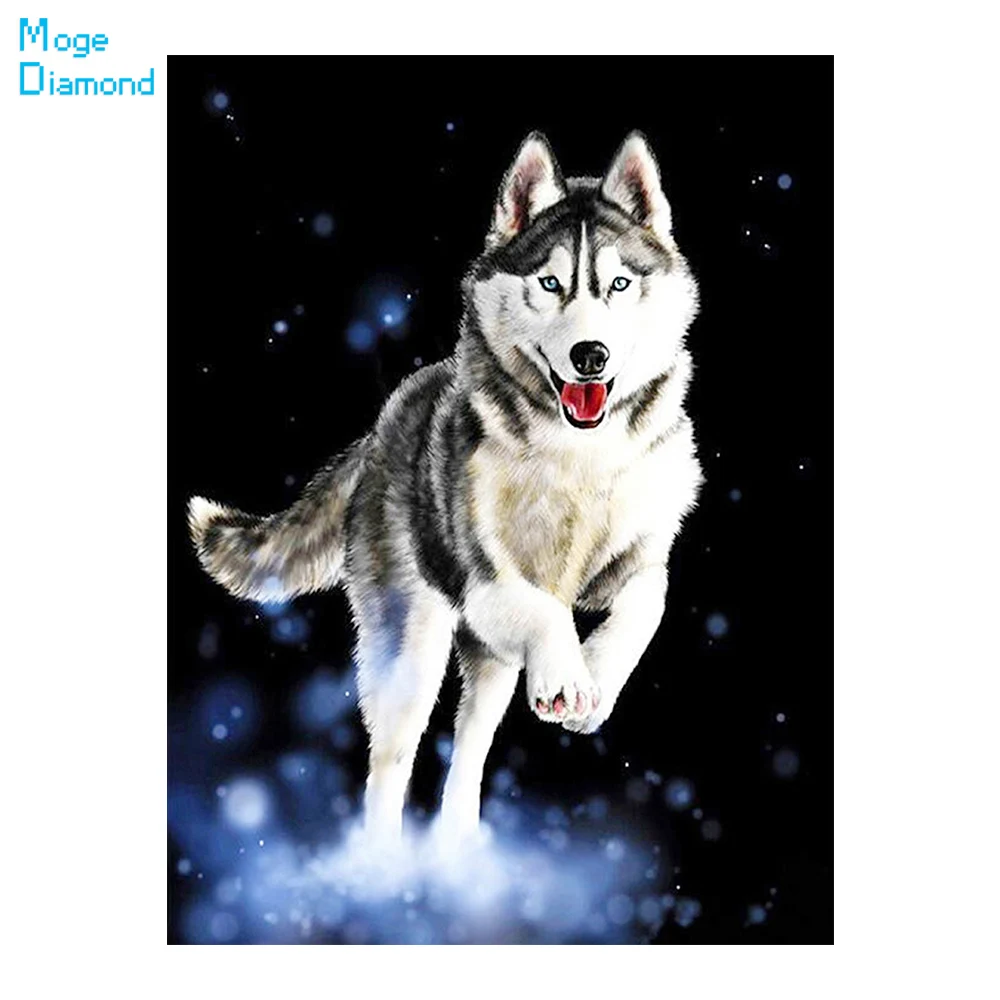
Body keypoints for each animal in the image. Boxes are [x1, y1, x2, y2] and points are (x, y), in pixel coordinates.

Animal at [189, 131, 703, 845]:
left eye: (619, 284)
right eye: (550, 284)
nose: (590, 356)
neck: (575, 455)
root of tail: (383, 425)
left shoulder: (638, 557)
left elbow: (648, 603)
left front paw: (592, 678)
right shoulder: (486, 581)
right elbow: (549, 613)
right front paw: (571, 674)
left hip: (489, 662)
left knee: (471, 746)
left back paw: (460, 842)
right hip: (413, 653)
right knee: (390, 763)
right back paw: (382, 861)